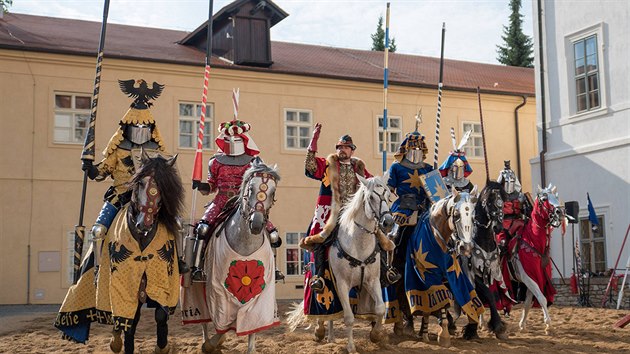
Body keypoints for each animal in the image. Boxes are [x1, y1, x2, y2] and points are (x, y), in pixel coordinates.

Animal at [105, 152, 183, 354]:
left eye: (163, 186)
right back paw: (115, 341)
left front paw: (162, 347)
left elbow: (161, 314)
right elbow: (129, 320)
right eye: (140, 183)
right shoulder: (127, 284)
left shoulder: (164, 280)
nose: (144, 224)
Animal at [201, 161, 282, 354]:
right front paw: (213, 343)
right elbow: (220, 324)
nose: (257, 223)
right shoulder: (218, 293)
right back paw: (207, 341)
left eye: (272, 191)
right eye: (251, 189)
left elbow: (252, 324)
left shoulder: (260, 294)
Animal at [402, 187, 486, 348]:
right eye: (456, 215)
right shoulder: (428, 274)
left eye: (474, 216)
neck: (436, 237)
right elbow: (439, 299)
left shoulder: (450, 275)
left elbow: (441, 302)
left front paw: (432, 331)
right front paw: (444, 335)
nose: (466, 247)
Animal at [460, 181, 512, 338]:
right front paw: (496, 324)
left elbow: (488, 297)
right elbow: (487, 295)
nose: (497, 227)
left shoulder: (489, 271)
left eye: (503, 202)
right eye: (488, 201)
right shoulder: (472, 274)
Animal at [512, 184, 564, 336]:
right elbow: (542, 298)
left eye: (556, 197)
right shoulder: (528, 277)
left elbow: (528, 302)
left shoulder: (533, 278)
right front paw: (548, 324)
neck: (533, 241)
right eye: (544, 199)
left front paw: (522, 325)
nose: (560, 212)